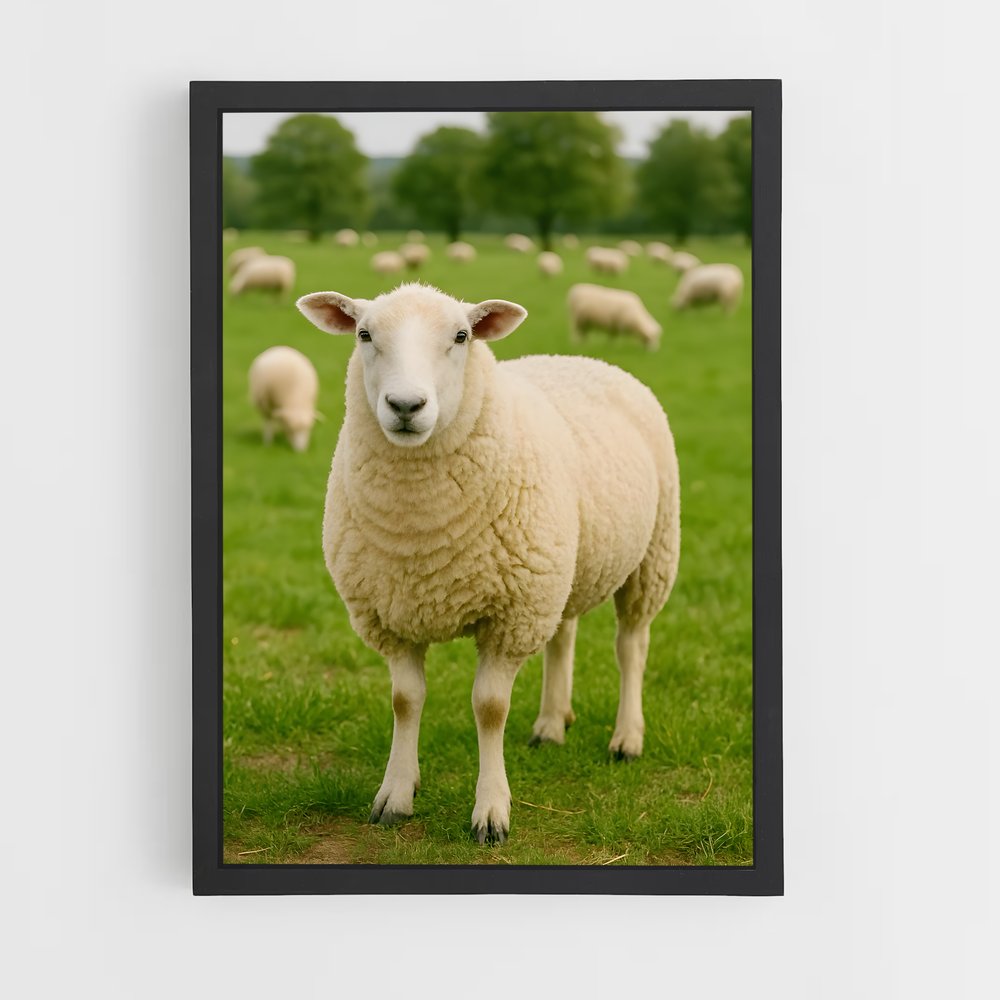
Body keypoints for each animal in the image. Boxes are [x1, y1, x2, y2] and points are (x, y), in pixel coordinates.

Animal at [296, 282, 680, 844]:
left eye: (462, 336)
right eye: (364, 334)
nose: (406, 405)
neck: (421, 533)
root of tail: (580, 359)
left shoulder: (510, 616)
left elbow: (490, 708)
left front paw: (491, 812)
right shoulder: (391, 614)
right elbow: (405, 700)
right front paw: (396, 794)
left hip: (651, 553)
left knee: (631, 645)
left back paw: (626, 737)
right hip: (557, 569)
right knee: (563, 637)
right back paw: (551, 724)